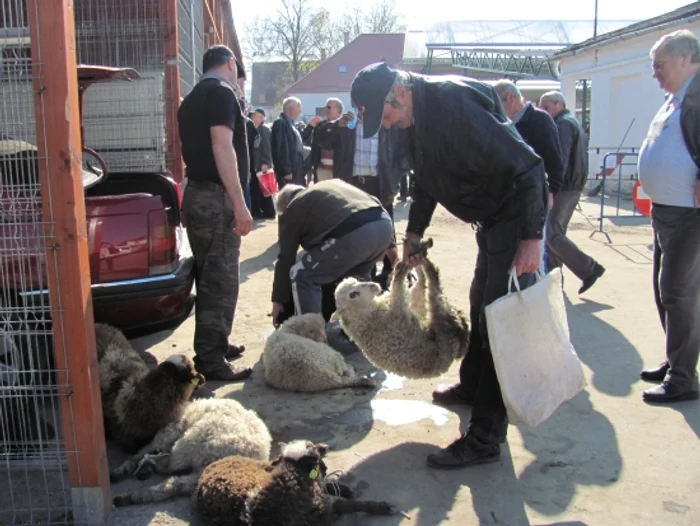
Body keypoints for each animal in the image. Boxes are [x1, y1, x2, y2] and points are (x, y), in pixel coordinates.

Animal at [194, 442, 396, 526]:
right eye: (317, 456)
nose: (324, 448)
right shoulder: (323, 510)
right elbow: (347, 505)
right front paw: (381, 506)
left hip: (265, 466)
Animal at [330, 256, 468, 380]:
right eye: (353, 294)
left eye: (357, 281)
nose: (374, 285)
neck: (366, 317)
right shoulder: (397, 317)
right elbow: (398, 288)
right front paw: (400, 269)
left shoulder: (410, 308)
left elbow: (417, 291)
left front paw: (415, 266)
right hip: (443, 331)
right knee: (435, 293)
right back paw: (429, 268)